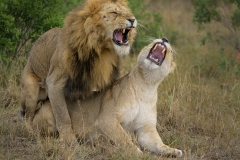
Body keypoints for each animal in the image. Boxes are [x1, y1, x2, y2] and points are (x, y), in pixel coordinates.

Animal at [20, 0, 137, 142]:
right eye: (114, 12)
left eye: (128, 12)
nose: (133, 19)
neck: (99, 50)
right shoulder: (54, 82)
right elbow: (62, 114)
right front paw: (69, 140)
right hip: (31, 89)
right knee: (27, 115)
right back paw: (30, 133)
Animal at [31, 39, 182, 158]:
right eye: (152, 42)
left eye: (171, 51)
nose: (164, 39)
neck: (146, 85)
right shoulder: (107, 119)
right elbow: (123, 137)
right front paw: (136, 151)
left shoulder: (146, 128)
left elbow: (158, 144)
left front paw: (173, 151)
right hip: (51, 113)